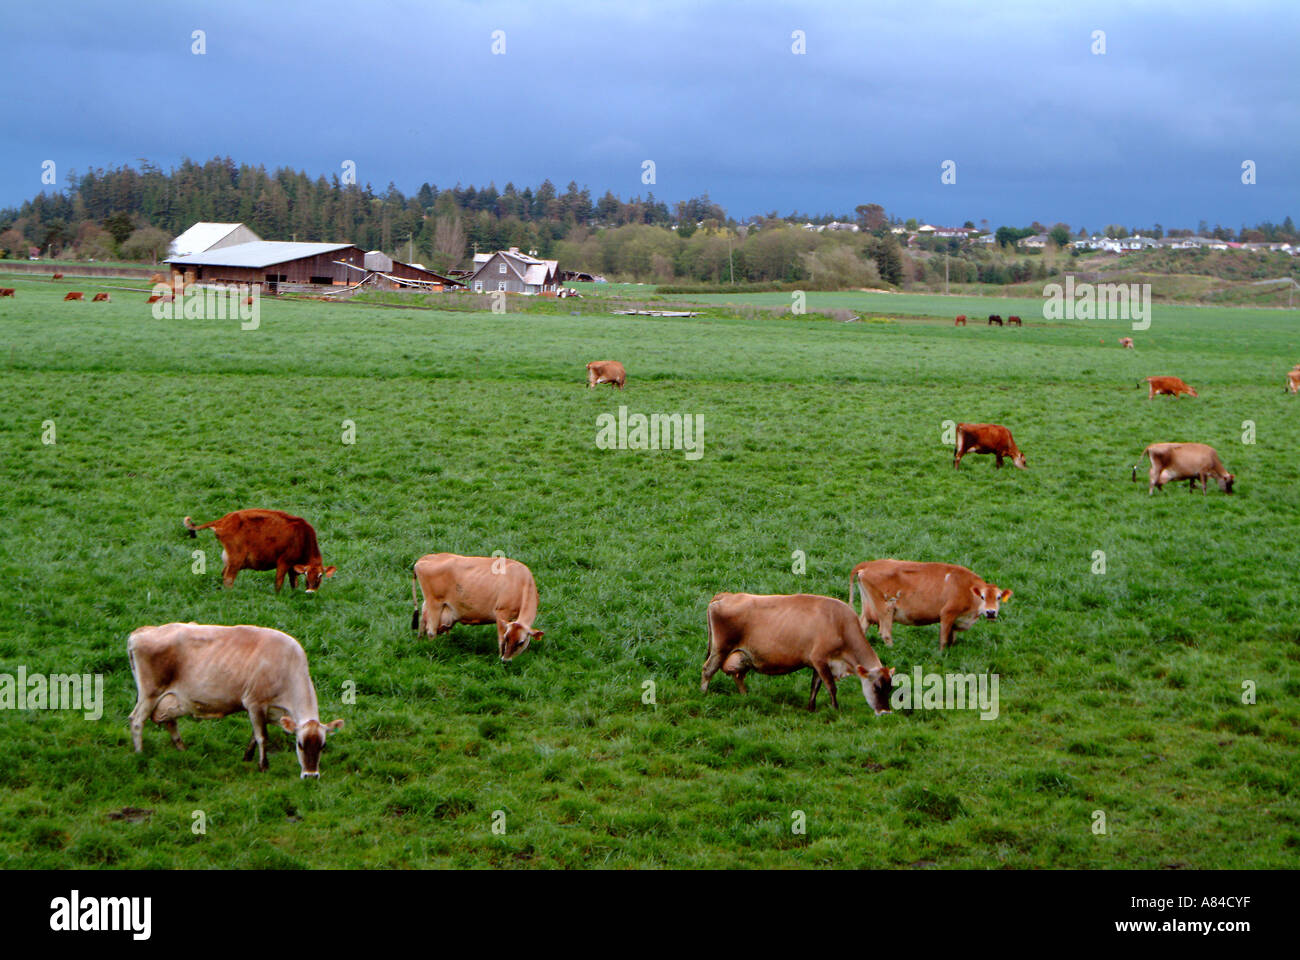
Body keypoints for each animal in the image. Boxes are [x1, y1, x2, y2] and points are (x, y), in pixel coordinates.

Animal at [127, 622, 343, 778]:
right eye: (299, 744)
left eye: (323, 746)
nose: (311, 776)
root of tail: (142, 631)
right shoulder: (254, 702)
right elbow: (262, 736)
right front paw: (263, 766)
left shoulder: (266, 711)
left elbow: (254, 735)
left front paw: (247, 757)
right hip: (149, 693)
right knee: (136, 720)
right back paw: (139, 754)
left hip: (168, 700)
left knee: (170, 723)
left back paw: (183, 750)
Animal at [183, 509, 335, 592]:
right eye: (308, 574)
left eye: (320, 575)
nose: (311, 591)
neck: (303, 536)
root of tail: (224, 520)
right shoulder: (284, 562)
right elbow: (278, 582)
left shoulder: (293, 566)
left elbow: (294, 582)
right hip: (236, 559)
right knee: (228, 578)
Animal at [411, 553, 542, 661]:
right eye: (507, 638)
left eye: (521, 642)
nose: (506, 660)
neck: (521, 581)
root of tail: (424, 558)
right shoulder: (501, 612)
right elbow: (500, 639)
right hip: (435, 603)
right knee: (431, 631)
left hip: (429, 604)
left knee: (422, 621)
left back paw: (419, 642)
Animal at [701, 592, 894, 713]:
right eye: (876, 687)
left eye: (890, 688)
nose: (885, 711)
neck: (840, 625)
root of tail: (726, 595)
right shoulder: (820, 659)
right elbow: (831, 686)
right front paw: (836, 710)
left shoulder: (818, 663)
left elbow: (815, 686)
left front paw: (811, 708)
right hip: (721, 649)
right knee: (708, 670)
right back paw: (703, 694)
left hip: (743, 655)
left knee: (738, 675)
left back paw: (746, 697)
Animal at [850, 560, 1012, 652]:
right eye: (982, 597)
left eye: (998, 597)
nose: (991, 612)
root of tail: (870, 564)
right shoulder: (948, 613)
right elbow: (944, 638)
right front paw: (941, 655)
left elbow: (951, 639)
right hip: (885, 609)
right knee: (885, 632)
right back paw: (893, 650)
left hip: (869, 609)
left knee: (862, 626)